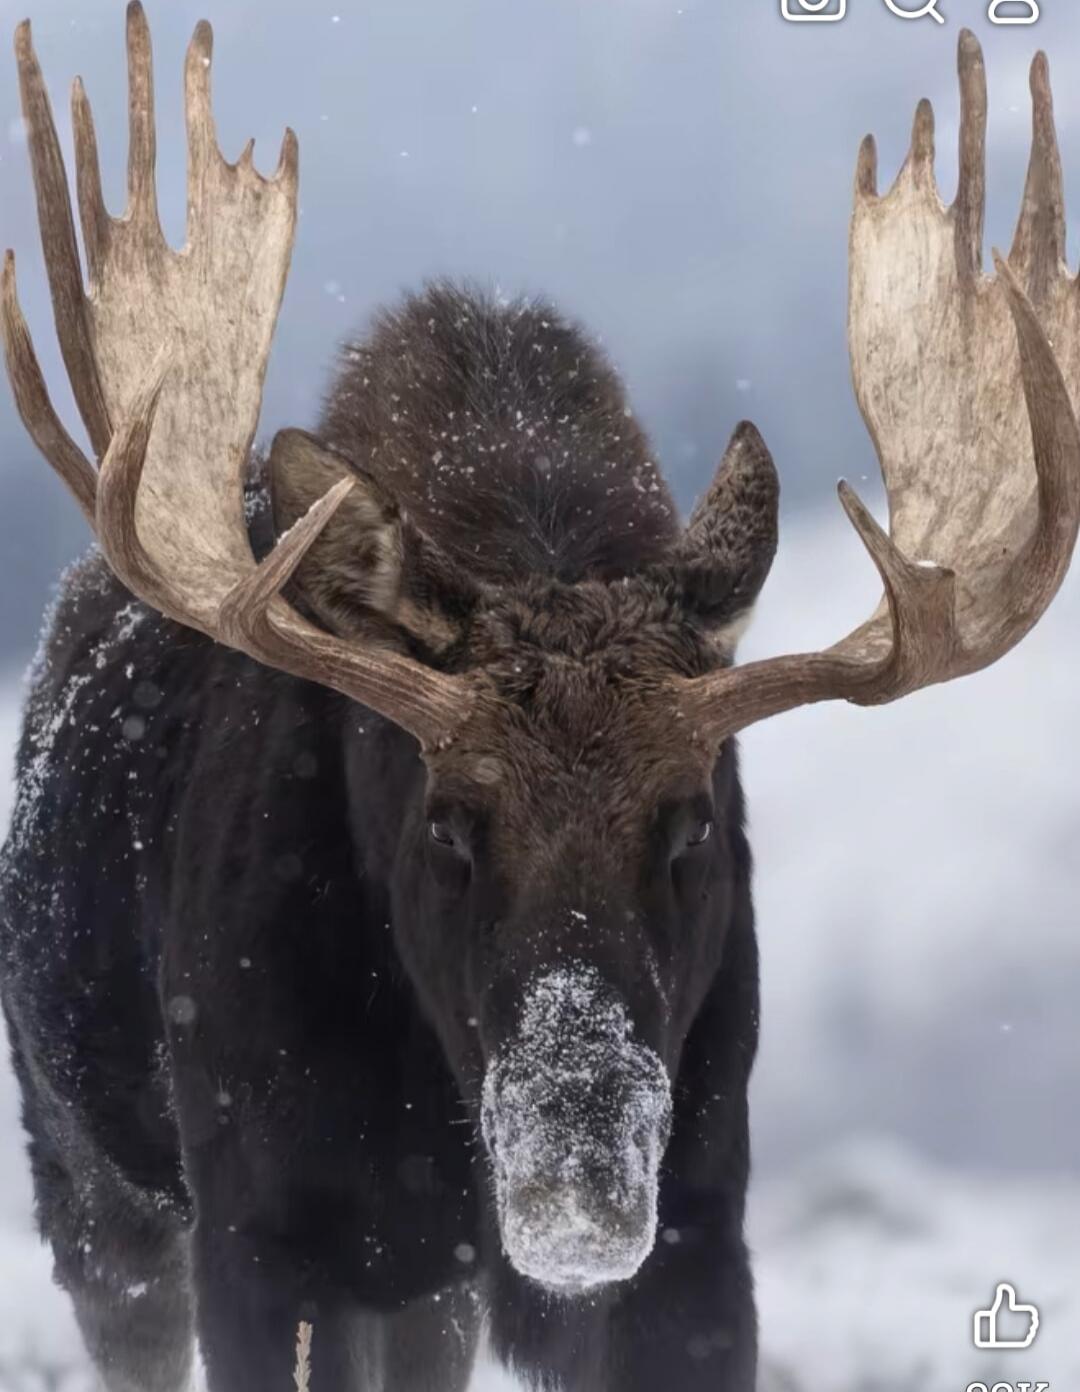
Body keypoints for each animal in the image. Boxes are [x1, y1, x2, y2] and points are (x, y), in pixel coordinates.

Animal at [0, 7, 1076, 1391]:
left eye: (692, 825)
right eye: (448, 825)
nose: (578, 1190)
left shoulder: (699, 1226)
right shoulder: (263, 1232)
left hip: (427, 1295)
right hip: (94, 1187)